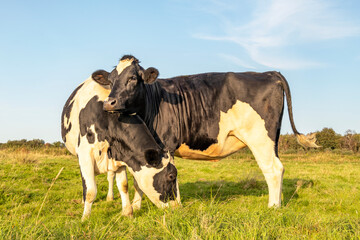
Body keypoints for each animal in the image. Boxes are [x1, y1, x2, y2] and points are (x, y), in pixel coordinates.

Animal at [62, 74, 181, 220]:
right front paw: (85, 218)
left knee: (110, 177)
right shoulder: (85, 154)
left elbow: (123, 185)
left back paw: (109, 197)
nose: (177, 206)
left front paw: (128, 212)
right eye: (171, 176)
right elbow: (90, 190)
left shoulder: (121, 155)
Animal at [94, 55, 320, 208]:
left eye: (133, 78)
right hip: (273, 140)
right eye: (111, 80)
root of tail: (269, 73)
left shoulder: (165, 146)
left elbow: (169, 174)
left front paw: (176, 205)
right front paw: (136, 206)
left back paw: (273, 207)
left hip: (259, 137)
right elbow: (137, 179)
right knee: (278, 167)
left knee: (273, 169)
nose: (109, 102)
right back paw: (279, 202)